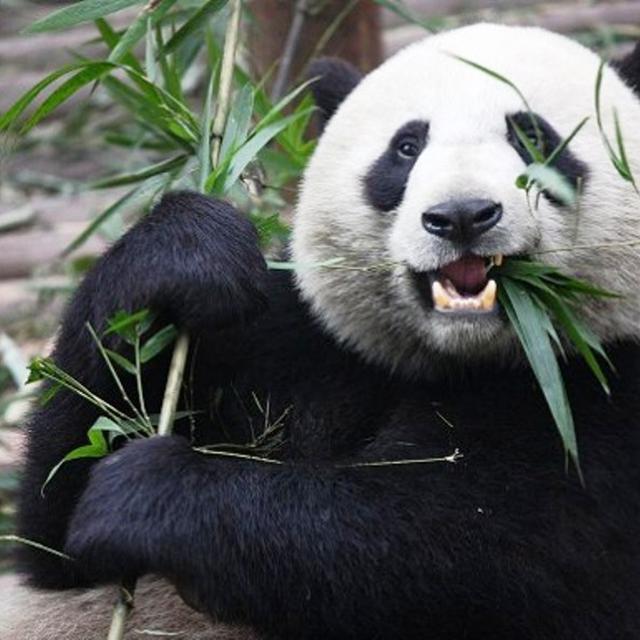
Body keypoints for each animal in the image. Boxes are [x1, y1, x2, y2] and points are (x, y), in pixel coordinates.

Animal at [5, 22, 640, 640]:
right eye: (407, 147)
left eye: (533, 138)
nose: (461, 215)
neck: (457, 356)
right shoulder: (295, 337)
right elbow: (56, 536)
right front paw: (185, 254)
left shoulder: (601, 387)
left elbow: (476, 545)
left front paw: (147, 492)